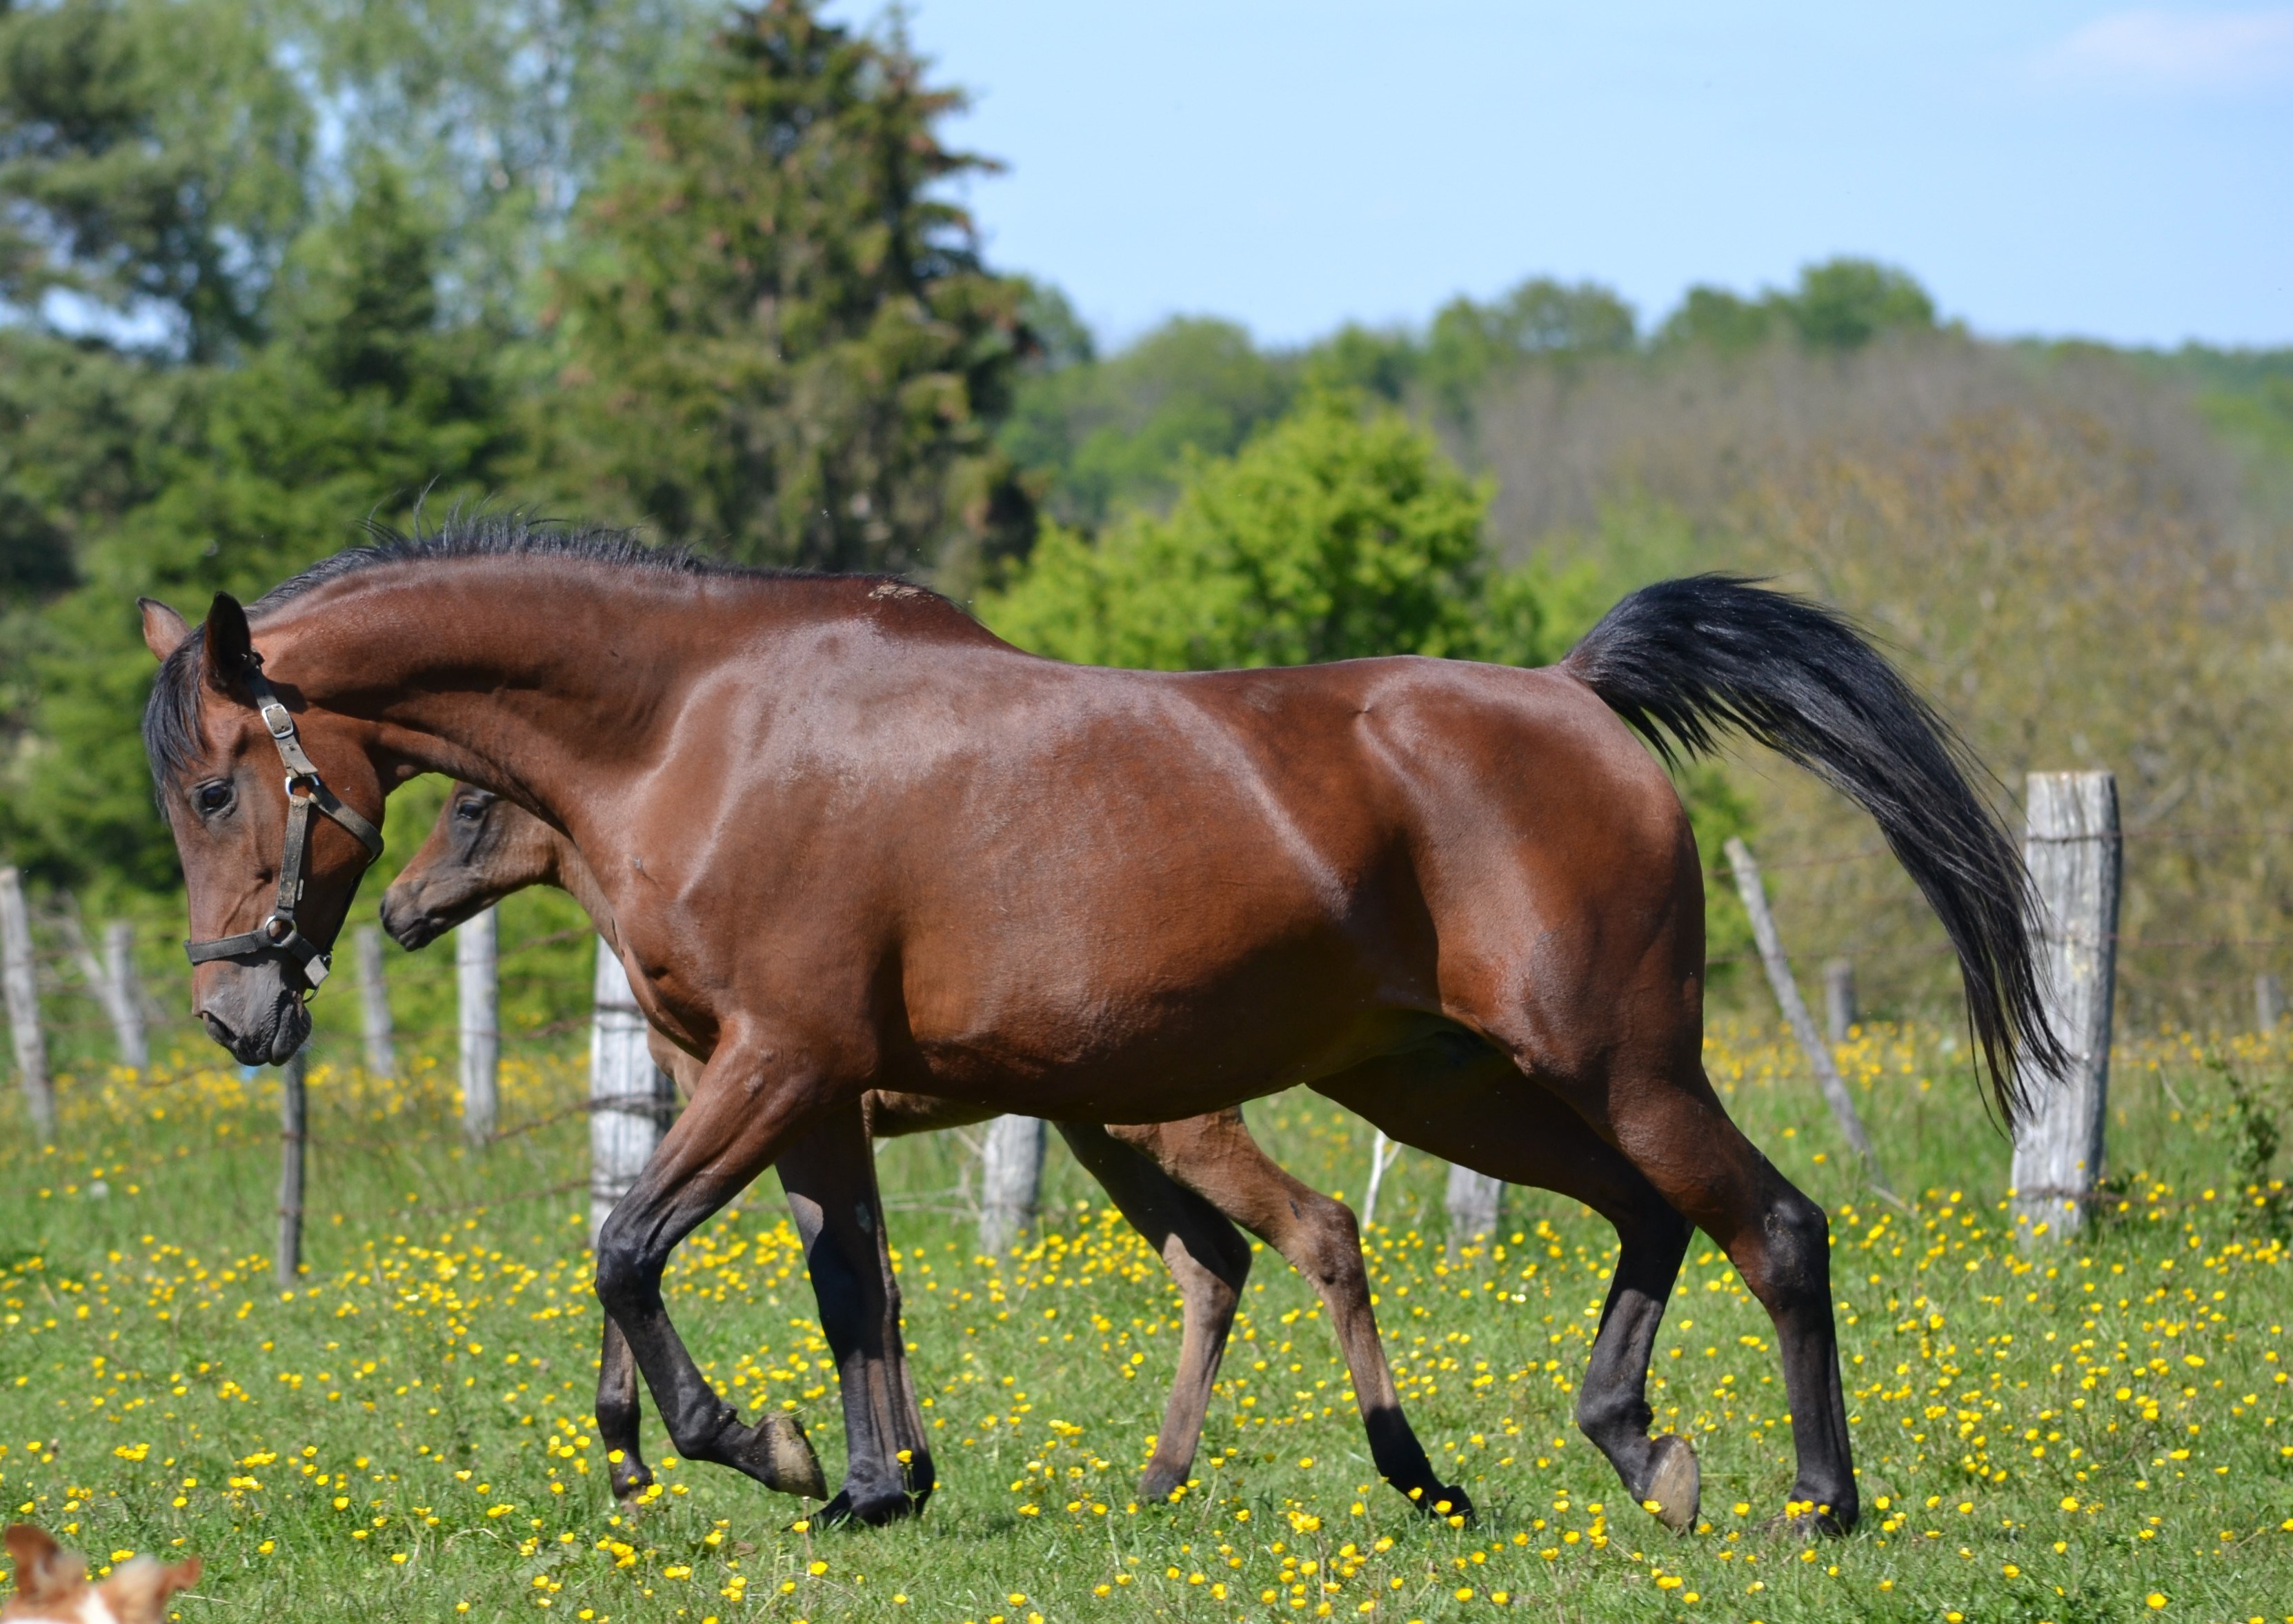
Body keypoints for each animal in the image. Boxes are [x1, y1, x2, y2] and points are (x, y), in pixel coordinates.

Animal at [385, 784, 1476, 1523]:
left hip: (1174, 1133)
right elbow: (865, 1284)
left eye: (470, 808)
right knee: (1214, 1261)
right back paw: (1160, 1478)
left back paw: (1414, 1476)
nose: (398, 909)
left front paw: (676, 1461)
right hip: (1105, 1138)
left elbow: (788, 1275)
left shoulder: (778, 1112)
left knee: (1317, 1229)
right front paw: (895, 1473)